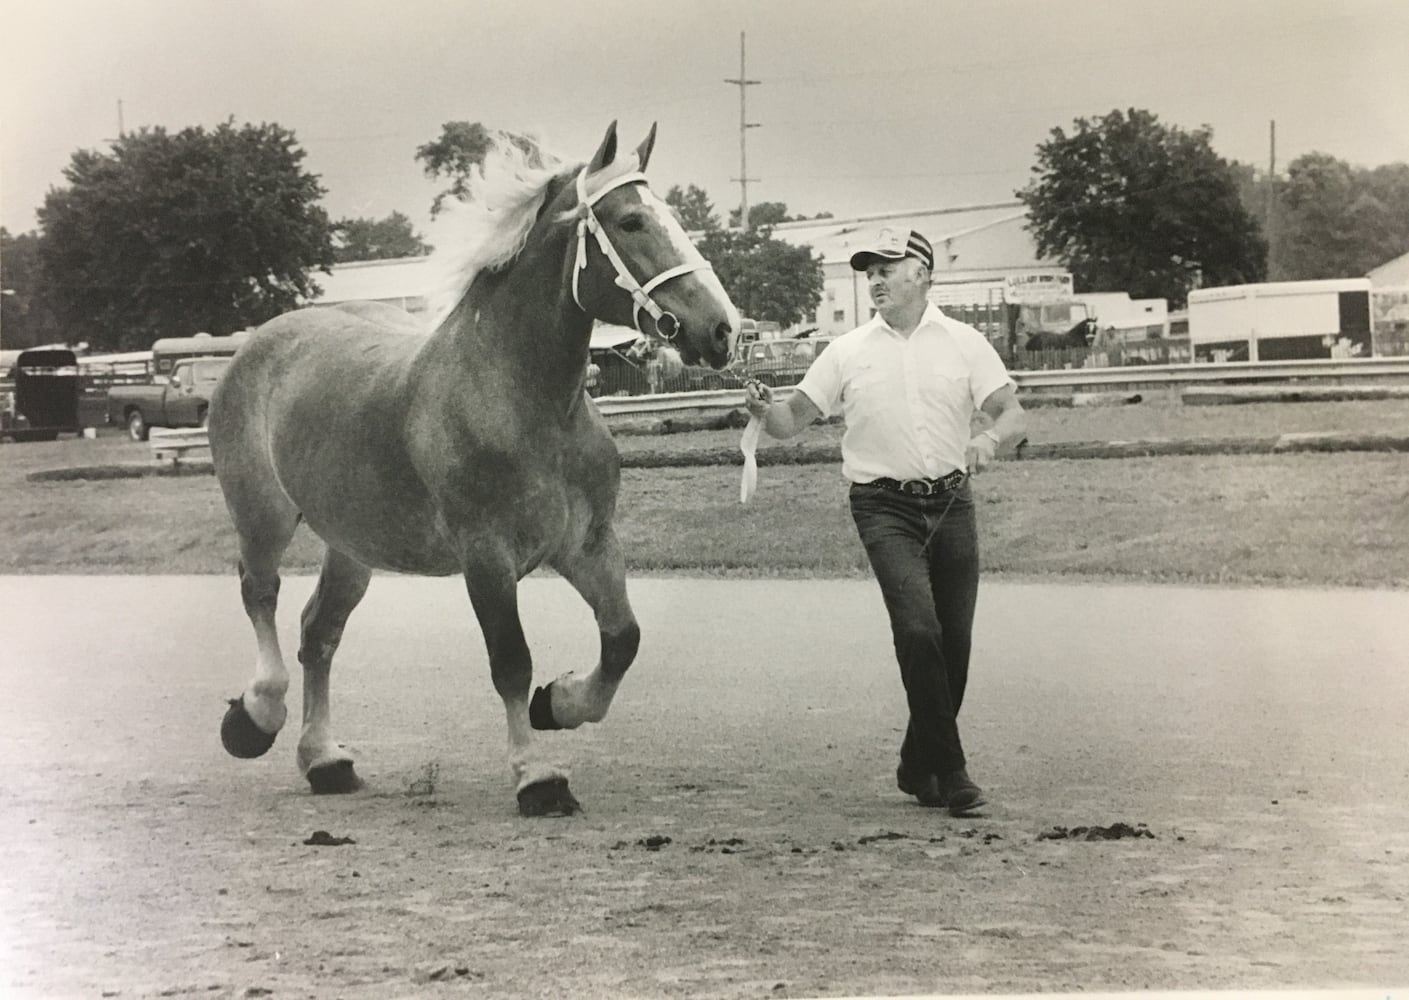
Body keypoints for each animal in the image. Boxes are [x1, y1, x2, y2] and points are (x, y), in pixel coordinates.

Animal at [211, 123, 738, 816]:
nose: (723, 330)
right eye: (630, 221)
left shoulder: (587, 543)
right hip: (263, 514)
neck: (524, 400)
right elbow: (510, 660)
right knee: (260, 593)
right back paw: (256, 715)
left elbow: (623, 638)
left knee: (319, 631)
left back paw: (323, 759)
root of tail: (261, 340)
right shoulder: (486, 556)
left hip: (352, 543)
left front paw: (559, 703)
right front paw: (537, 776)